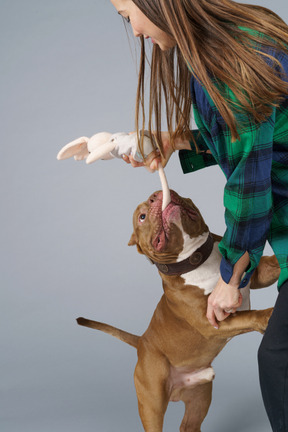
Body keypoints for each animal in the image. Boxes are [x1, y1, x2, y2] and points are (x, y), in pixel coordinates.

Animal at [77, 190, 280, 432]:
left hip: (198, 399)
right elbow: (247, 315)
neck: (196, 259)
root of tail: (141, 342)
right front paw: (267, 315)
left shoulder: (253, 275)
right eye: (142, 217)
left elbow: (272, 266)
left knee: (189, 425)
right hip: (152, 405)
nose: (156, 195)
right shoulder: (210, 321)